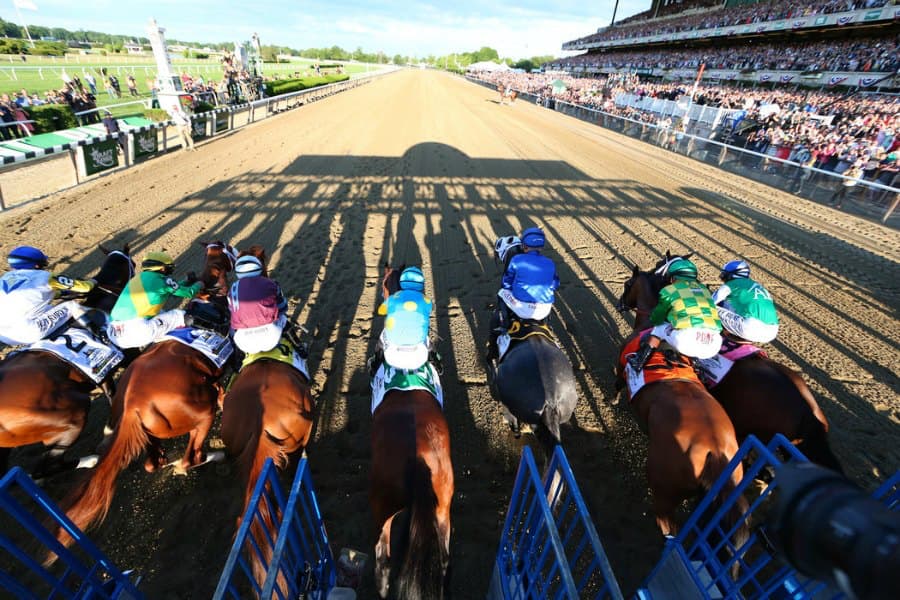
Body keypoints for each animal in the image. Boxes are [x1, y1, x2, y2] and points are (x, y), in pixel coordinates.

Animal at [0, 244, 134, 477]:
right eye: (133, 262)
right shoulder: (125, 356)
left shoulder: (103, 373)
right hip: (71, 415)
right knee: (45, 468)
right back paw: (91, 460)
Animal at [52, 241, 236, 552]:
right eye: (228, 250)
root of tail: (131, 406)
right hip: (202, 416)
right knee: (191, 458)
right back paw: (209, 456)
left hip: (151, 435)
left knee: (154, 463)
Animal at [615, 259, 748, 540]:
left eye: (628, 283)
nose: (620, 303)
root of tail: (714, 452)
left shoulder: (619, 367)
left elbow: (616, 383)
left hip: (664, 489)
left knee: (667, 526)